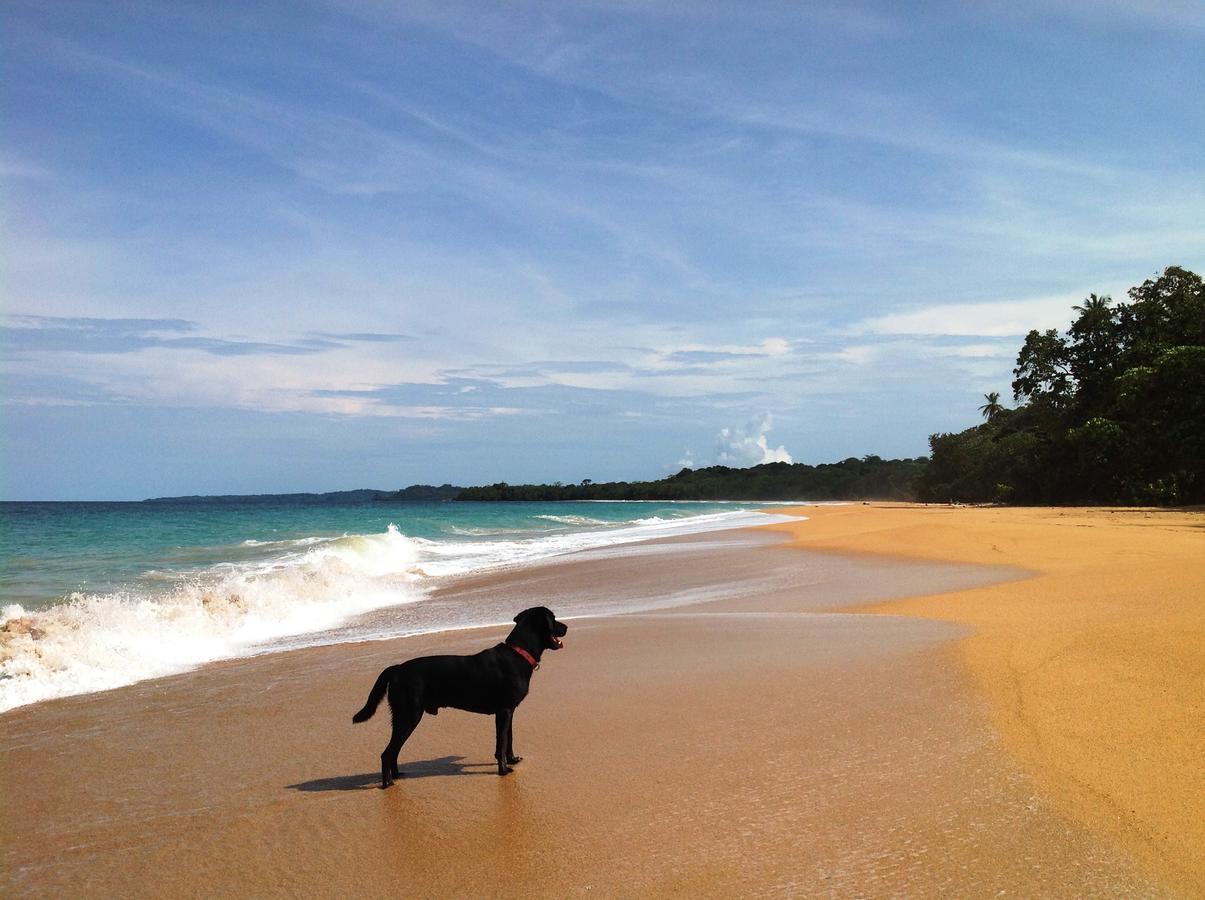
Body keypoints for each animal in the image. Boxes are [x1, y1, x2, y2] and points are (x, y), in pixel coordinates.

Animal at [351, 604, 568, 790]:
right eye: (553, 619)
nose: (566, 626)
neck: (519, 653)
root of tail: (396, 669)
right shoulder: (504, 711)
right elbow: (501, 742)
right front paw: (503, 770)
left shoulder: (510, 711)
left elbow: (509, 738)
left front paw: (512, 759)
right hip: (408, 715)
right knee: (387, 753)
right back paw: (388, 783)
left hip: (403, 717)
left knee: (394, 750)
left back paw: (397, 776)